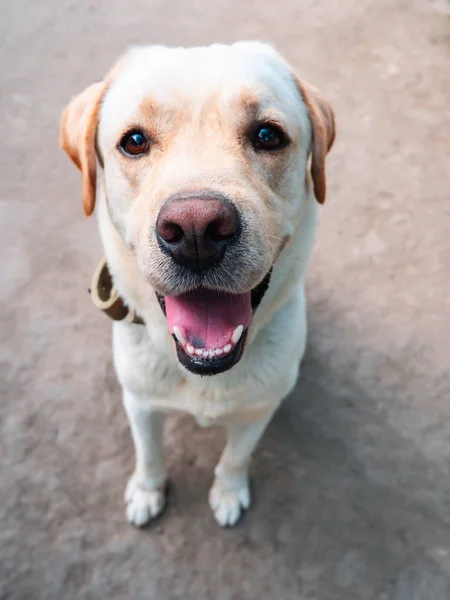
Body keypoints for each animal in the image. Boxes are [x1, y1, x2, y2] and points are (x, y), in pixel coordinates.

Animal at [59, 42, 334, 528]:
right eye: (134, 141)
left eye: (267, 135)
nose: (196, 230)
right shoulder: (140, 403)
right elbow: (149, 455)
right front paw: (147, 491)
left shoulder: (258, 411)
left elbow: (235, 458)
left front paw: (228, 492)